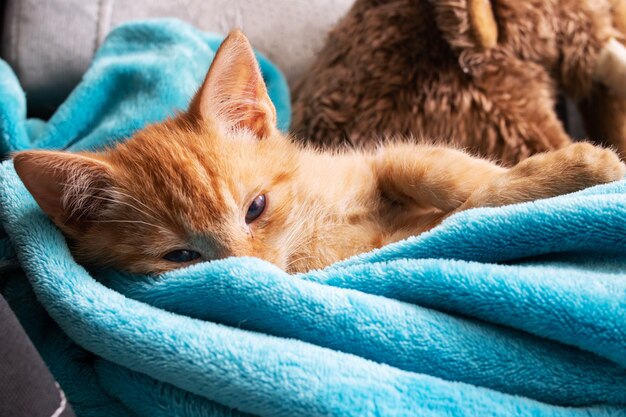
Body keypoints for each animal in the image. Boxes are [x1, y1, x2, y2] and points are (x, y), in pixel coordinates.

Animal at [12, 30, 620, 274]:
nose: (255, 277)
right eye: (180, 256)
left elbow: (441, 173)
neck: (309, 224)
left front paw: (571, 167)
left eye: (255, 208)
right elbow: (451, 217)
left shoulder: (376, 160)